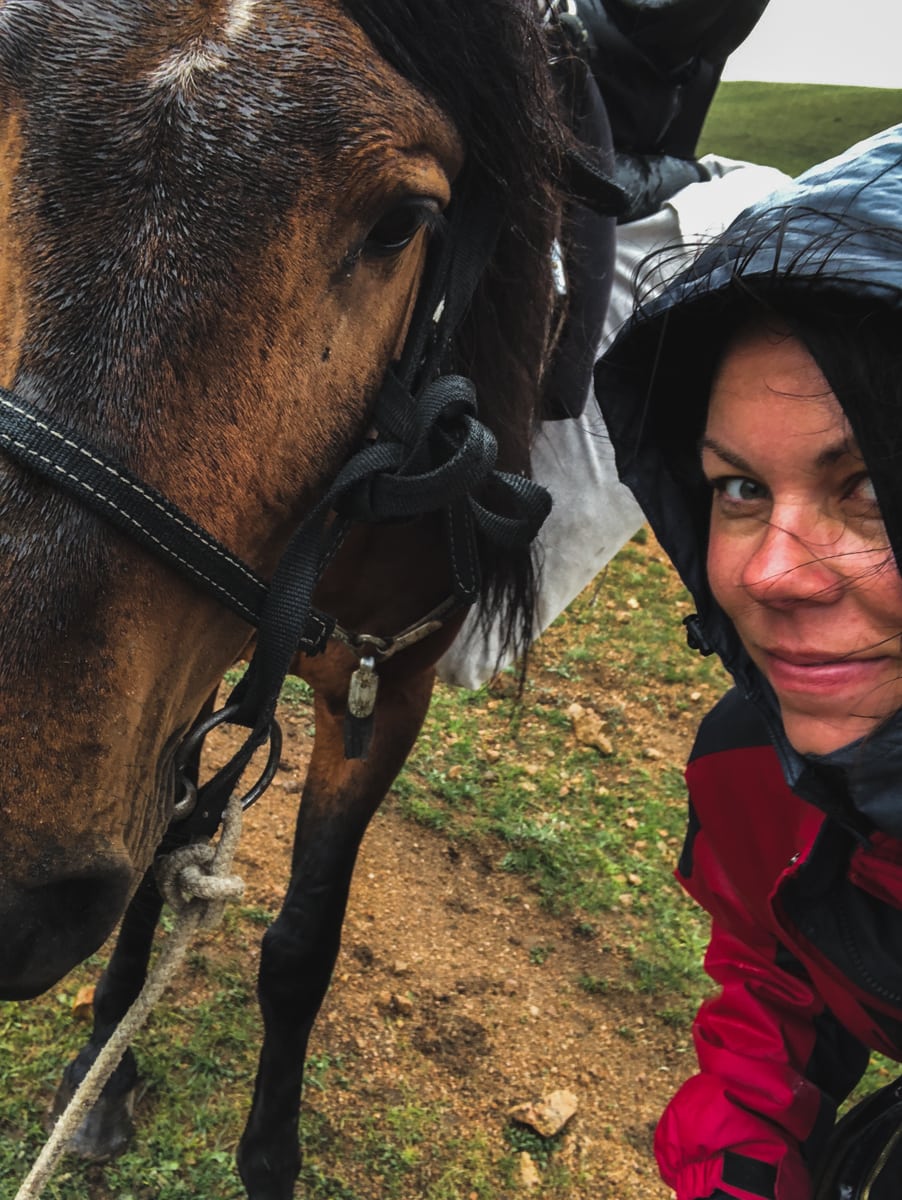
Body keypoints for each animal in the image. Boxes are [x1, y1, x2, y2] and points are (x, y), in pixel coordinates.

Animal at [0, 0, 609, 1195]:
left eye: (404, 222)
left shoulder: (388, 687)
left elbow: (300, 949)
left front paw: (269, 1150)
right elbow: (166, 849)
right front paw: (99, 1076)